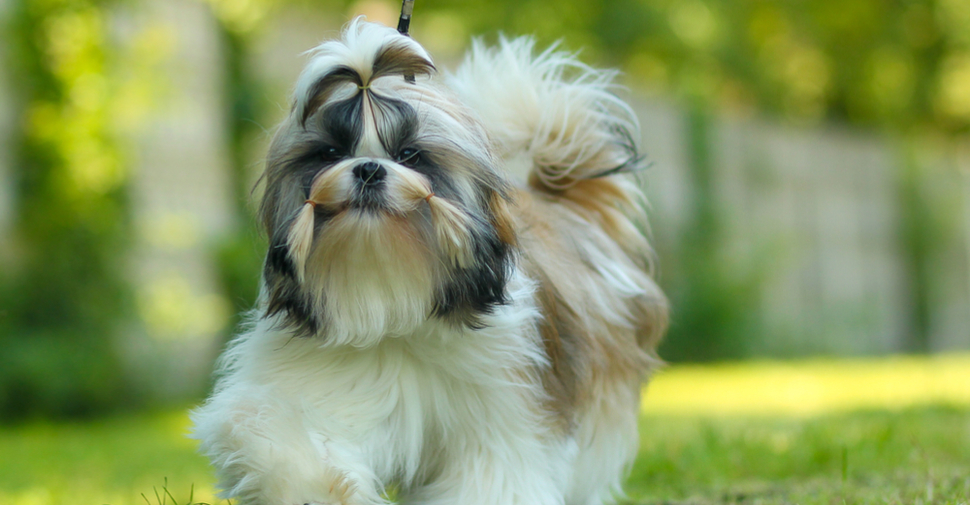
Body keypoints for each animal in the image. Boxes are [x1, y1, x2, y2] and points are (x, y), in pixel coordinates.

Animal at [193, 17, 668, 504]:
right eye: (330, 153)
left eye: (409, 155)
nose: (367, 168)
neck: (391, 301)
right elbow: (266, 428)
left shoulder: (499, 423)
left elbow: (493, 477)